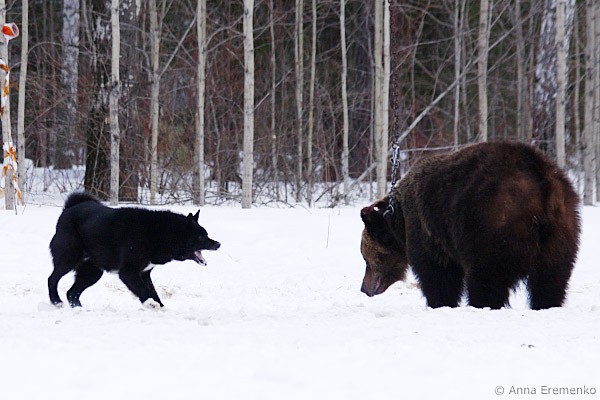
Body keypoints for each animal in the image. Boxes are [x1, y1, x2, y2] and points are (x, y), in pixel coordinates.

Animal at [48, 192, 221, 308]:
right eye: (200, 237)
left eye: (206, 234)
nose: (218, 244)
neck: (159, 233)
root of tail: (68, 209)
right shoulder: (128, 273)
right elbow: (144, 292)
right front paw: (150, 305)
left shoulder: (144, 273)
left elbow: (153, 293)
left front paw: (161, 309)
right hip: (69, 259)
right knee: (52, 279)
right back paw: (56, 302)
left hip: (92, 272)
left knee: (72, 293)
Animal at [359, 141, 580, 310]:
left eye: (365, 258)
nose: (363, 288)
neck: (399, 224)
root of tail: (542, 184)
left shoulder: (426, 230)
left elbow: (437, 273)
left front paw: (439, 302)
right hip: (561, 232)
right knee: (550, 279)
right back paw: (547, 304)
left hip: (492, 222)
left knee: (488, 277)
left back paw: (482, 303)